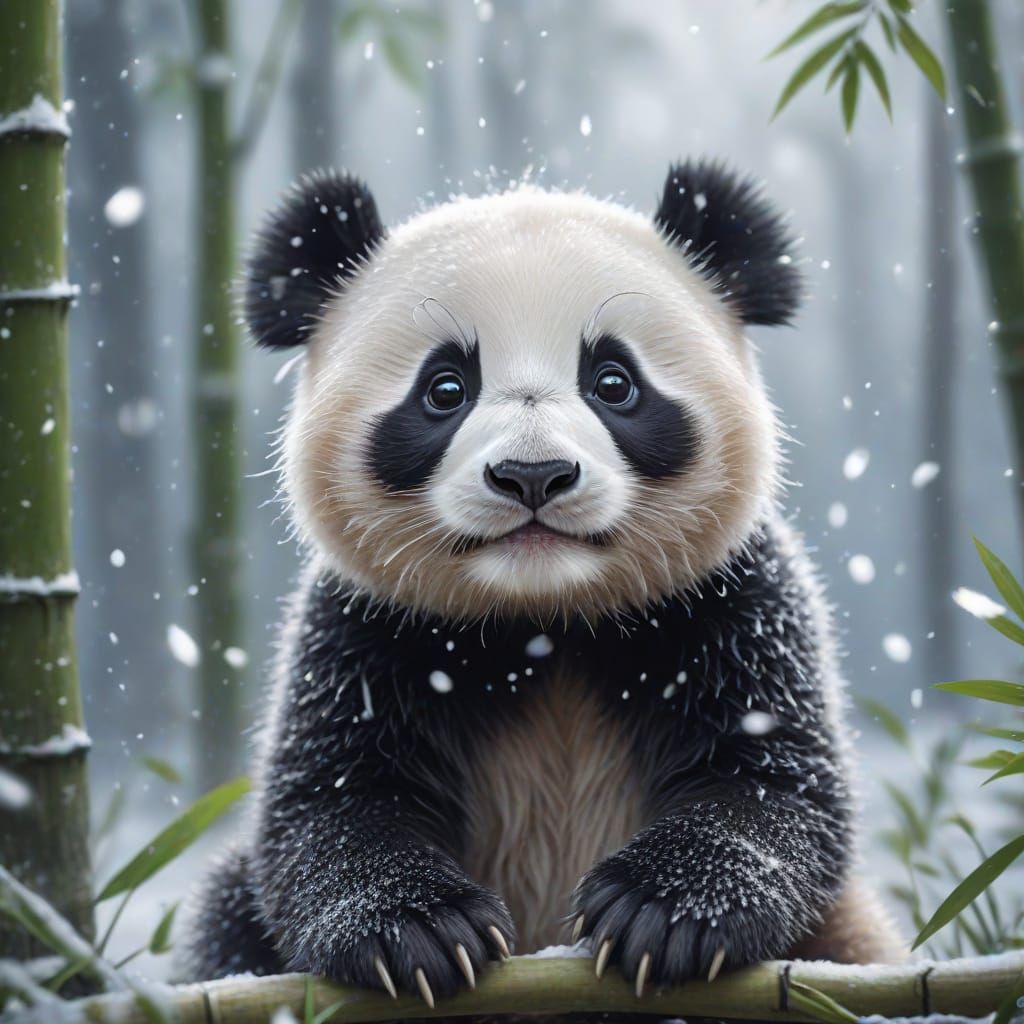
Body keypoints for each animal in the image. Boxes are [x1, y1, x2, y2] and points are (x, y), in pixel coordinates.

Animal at [180, 162, 905, 1017]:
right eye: (445, 388)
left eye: (614, 382)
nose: (533, 475)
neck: (545, 619)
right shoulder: (367, 626)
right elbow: (332, 802)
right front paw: (421, 932)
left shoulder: (732, 599)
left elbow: (772, 781)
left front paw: (657, 914)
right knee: (229, 910)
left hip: (844, 935)